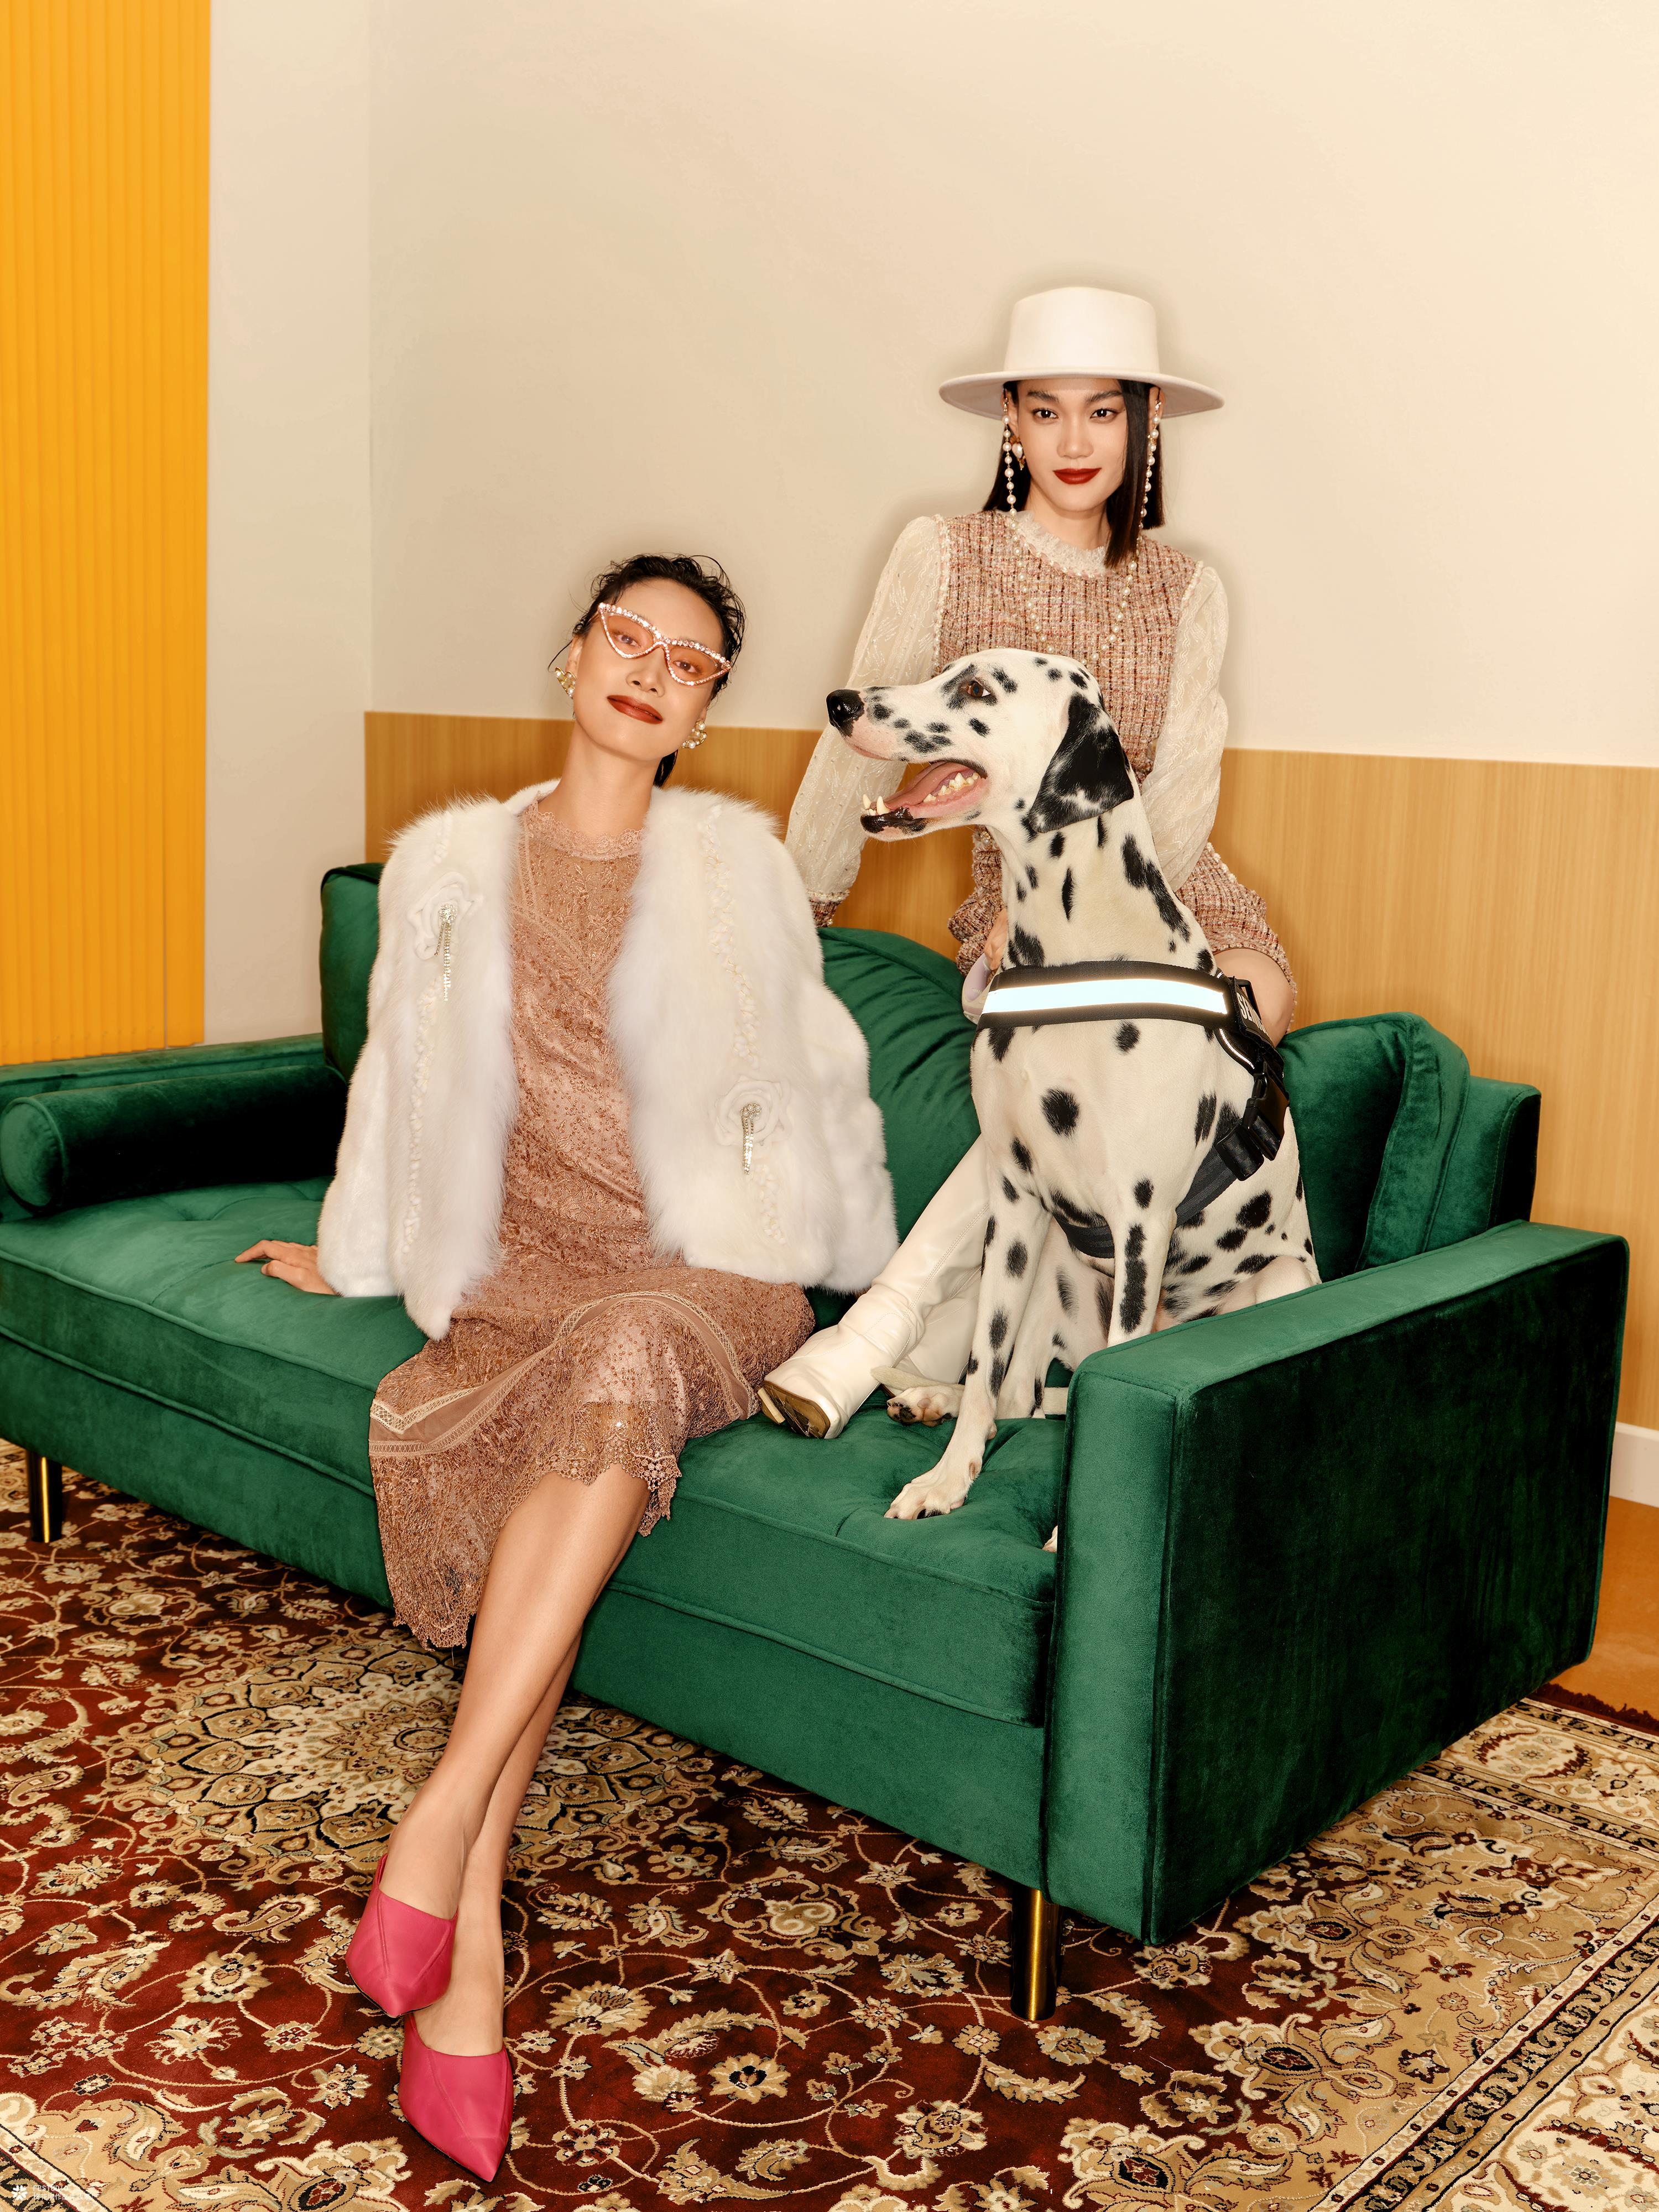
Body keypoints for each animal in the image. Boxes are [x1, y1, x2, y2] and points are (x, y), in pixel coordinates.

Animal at [834, 649, 1319, 1522]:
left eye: (978, 689)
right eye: (945, 668)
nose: (841, 702)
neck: (1074, 959)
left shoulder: (1141, 1225)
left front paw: (1063, 1536)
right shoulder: (1015, 1204)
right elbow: (986, 1370)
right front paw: (947, 1480)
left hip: (1274, 1280)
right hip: (1053, 1262)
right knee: (1021, 1393)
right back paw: (932, 1399)